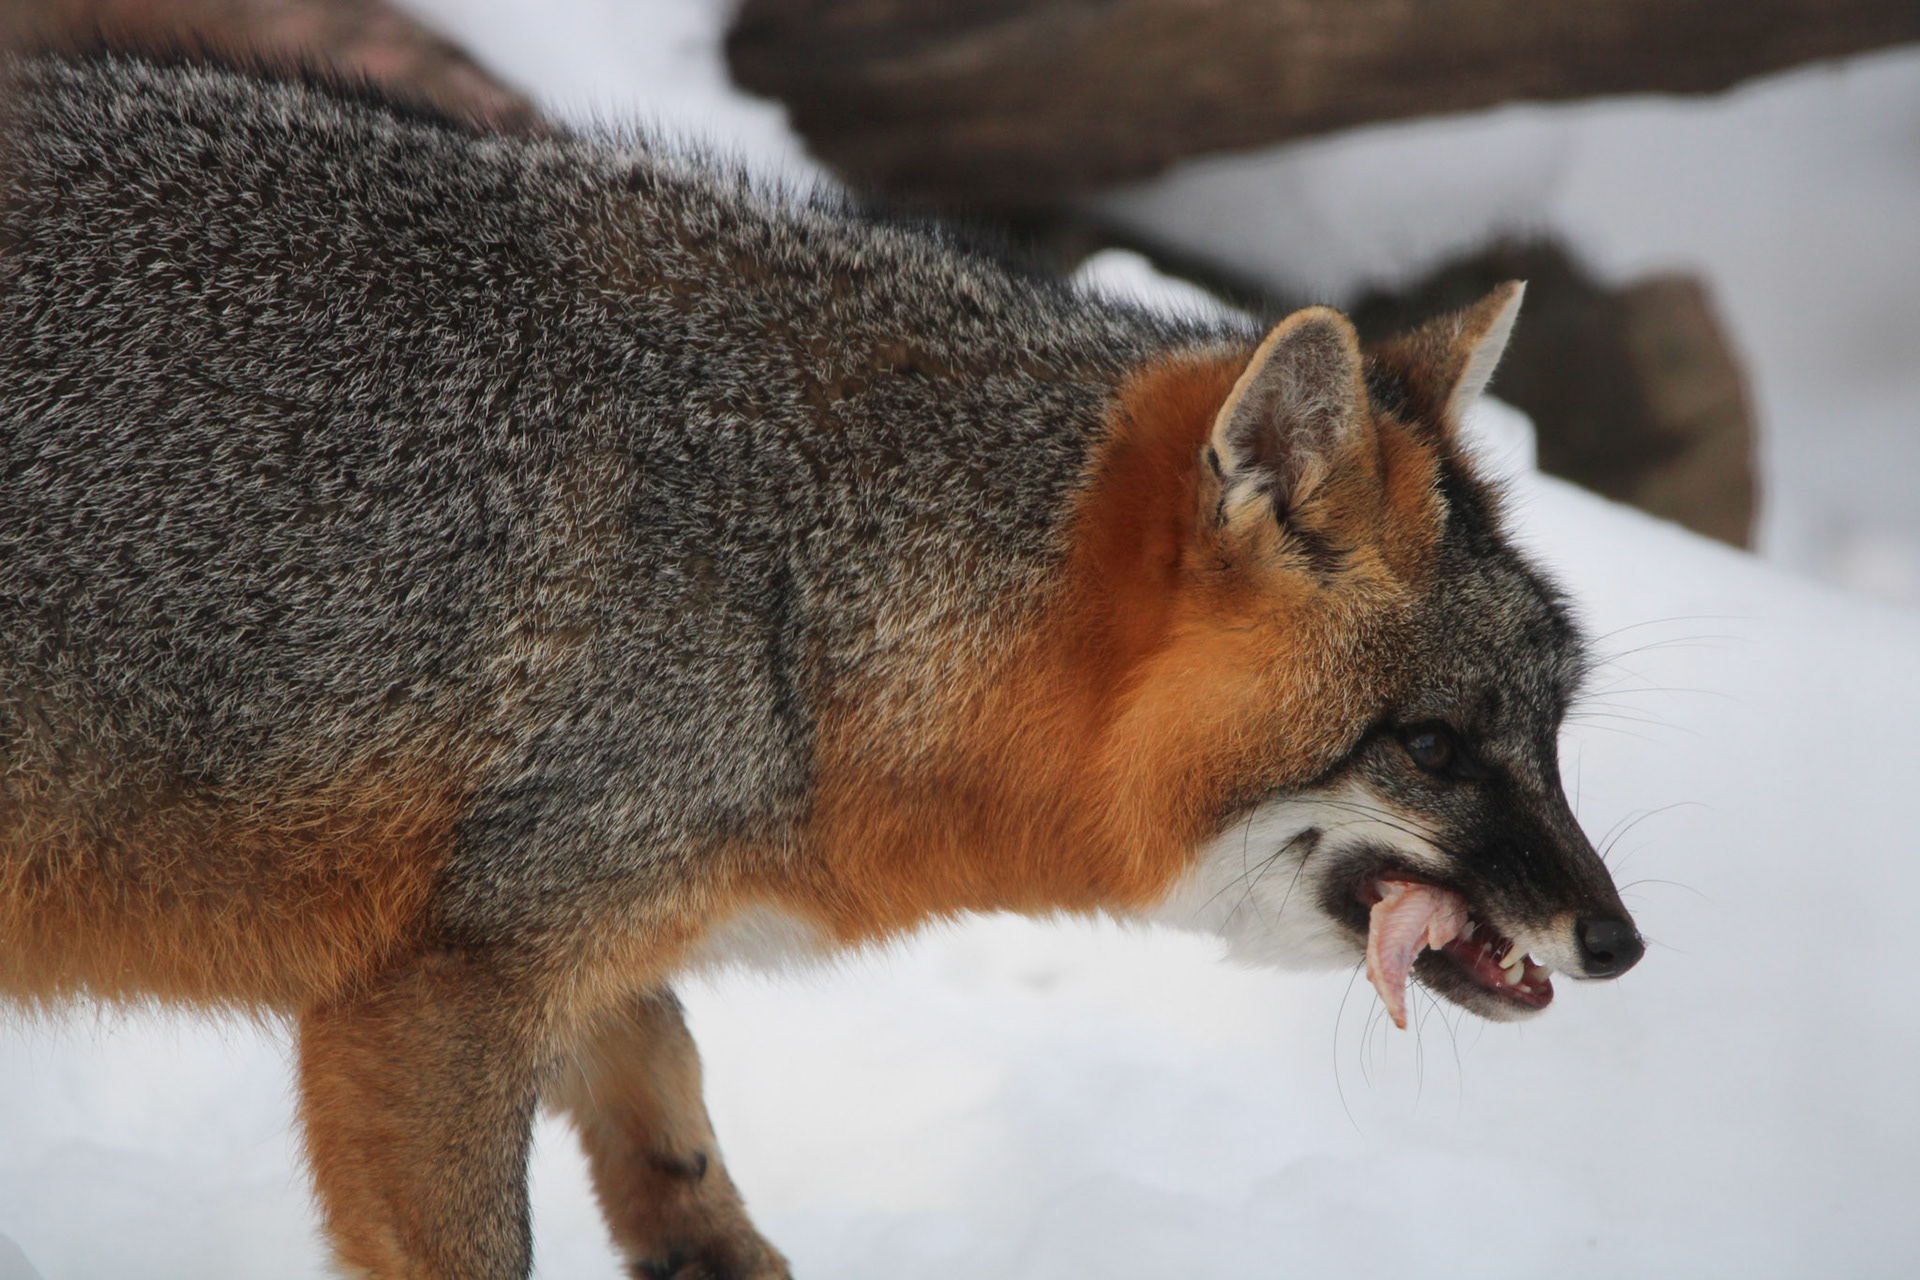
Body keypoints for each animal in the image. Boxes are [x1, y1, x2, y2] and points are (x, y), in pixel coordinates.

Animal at [0, 50, 1644, 1280]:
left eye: (1554, 730)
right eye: (1432, 747)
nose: (1620, 943)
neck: (791, 582)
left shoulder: (580, 943)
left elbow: (676, 1126)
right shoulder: (426, 1002)